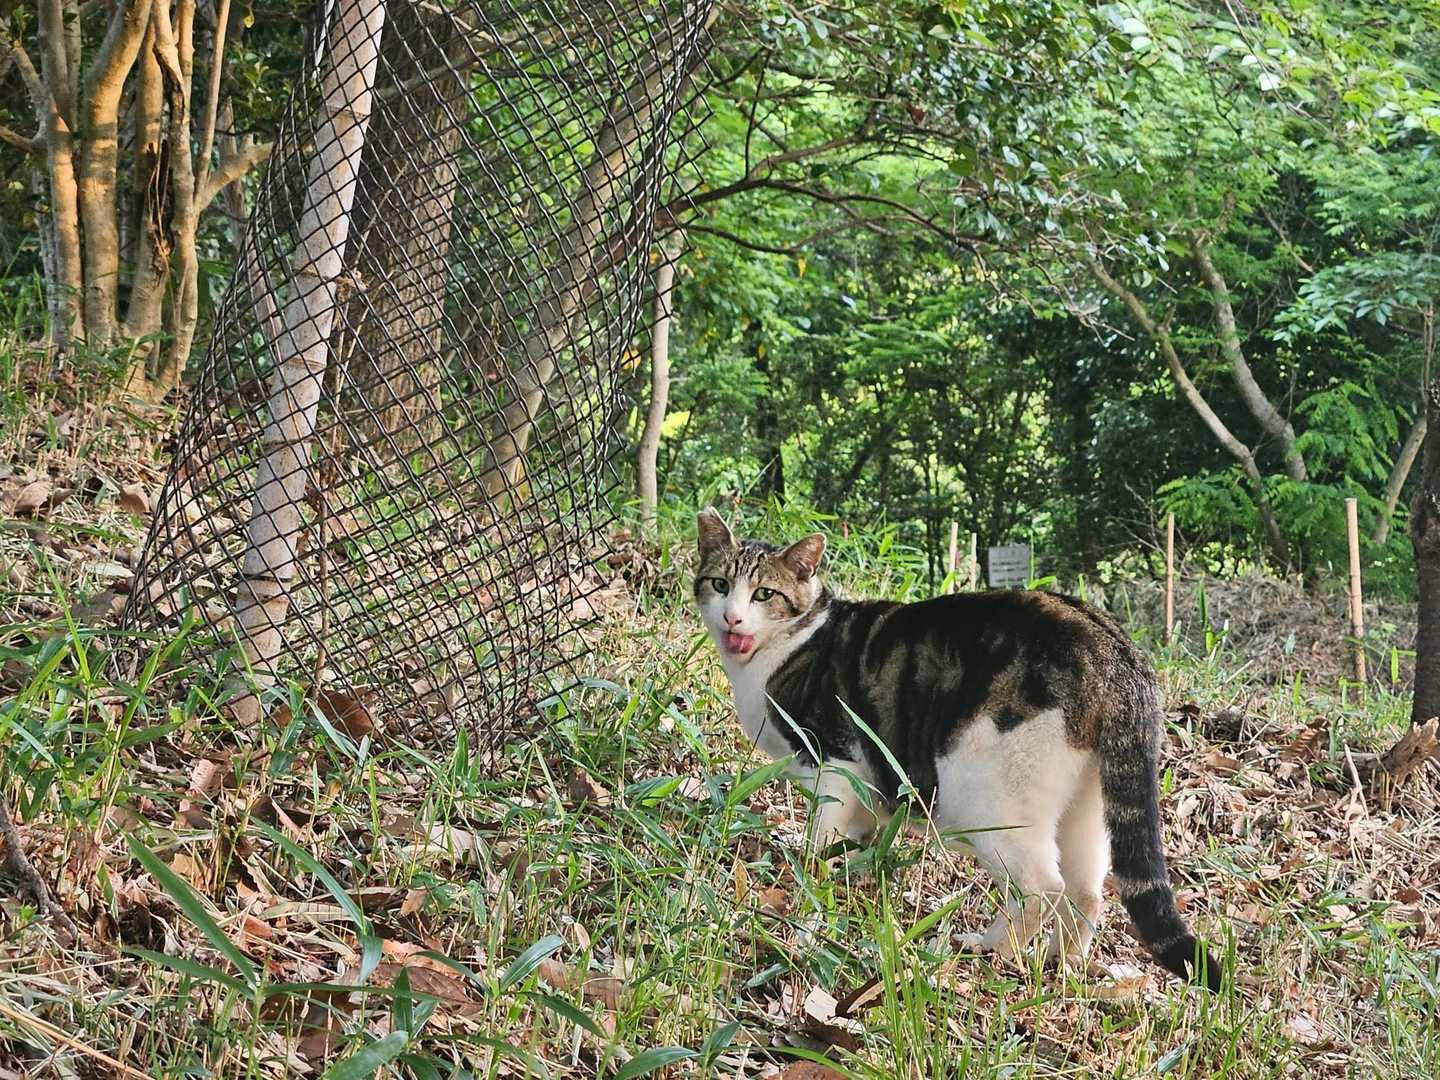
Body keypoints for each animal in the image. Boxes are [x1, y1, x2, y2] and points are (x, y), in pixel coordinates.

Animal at [693, 508, 1223, 991]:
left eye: (764, 594)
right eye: (720, 584)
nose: (732, 617)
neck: (789, 644)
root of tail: (1115, 651)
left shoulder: (834, 758)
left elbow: (819, 834)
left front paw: (807, 876)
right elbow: (862, 835)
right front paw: (854, 870)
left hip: (982, 791)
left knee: (1042, 887)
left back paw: (991, 949)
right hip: (1087, 804)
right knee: (1087, 890)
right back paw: (1061, 963)